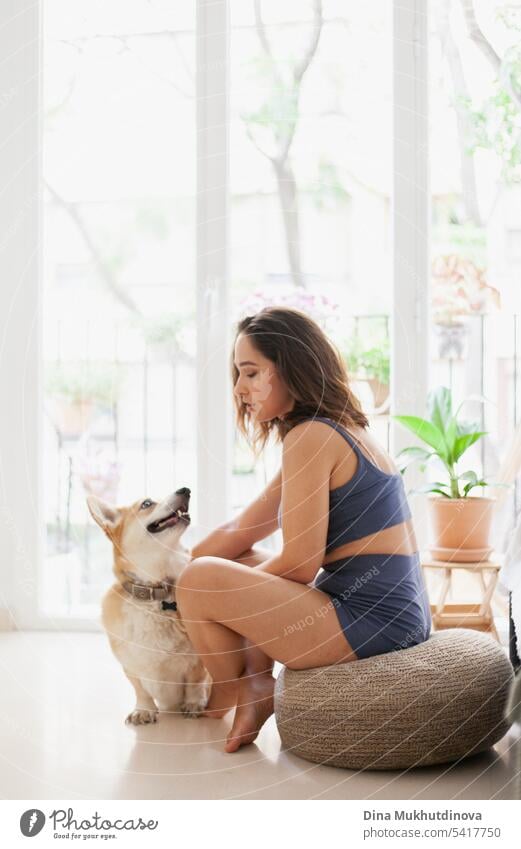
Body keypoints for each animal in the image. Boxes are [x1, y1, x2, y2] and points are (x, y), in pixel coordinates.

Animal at [86, 486, 210, 724]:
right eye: (146, 504)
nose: (186, 489)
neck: (156, 596)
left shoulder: (198, 661)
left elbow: (195, 682)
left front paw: (193, 704)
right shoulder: (130, 666)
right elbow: (140, 690)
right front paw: (144, 710)